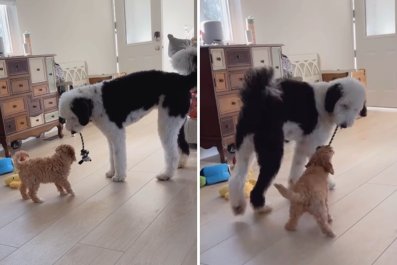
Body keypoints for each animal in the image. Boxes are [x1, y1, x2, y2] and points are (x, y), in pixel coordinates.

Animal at [57, 52, 196, 182]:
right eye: (64, 119)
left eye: (73, 117)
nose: (71, 131)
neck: (94, 101)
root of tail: (182, 80)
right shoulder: (110, 136)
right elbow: (112, 156)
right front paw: (111, 172)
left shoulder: (117, 134)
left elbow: (118, 157)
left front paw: (119, 176)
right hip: (177, 123)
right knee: (183, 146)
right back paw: (180, 164)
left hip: (166, 124)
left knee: (172, 153)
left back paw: (166, 175)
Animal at [229, 67, 366, 213]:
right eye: (344, 105)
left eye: (356, 109)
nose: (345, 125)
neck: (325, 102)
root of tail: (257, 96)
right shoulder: (312, 145)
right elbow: (320, 165)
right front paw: (329, 183)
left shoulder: (302, 144)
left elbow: (297, 164)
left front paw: (293, 185)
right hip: (271, 150)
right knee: (259, 184)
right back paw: (261, 207)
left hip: (245, 145)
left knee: (237, 178)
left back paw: (238, 205)